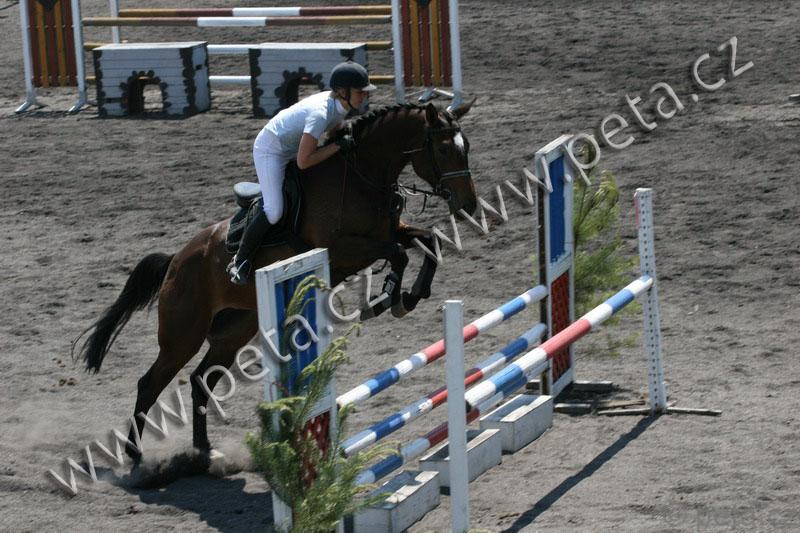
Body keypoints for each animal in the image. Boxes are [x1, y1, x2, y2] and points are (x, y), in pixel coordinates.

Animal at [75, 101, 477, 463]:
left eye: (467, 146)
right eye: (444, 149)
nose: (468, 205)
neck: (363, 175)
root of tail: (176, 260)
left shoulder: (392, 231)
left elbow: (428, 242)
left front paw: (410, 296)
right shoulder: (344, 249)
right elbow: (399, 254)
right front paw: (389, 298)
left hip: (235, 329)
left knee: (201, 381)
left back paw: (205, 449)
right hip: (182, 335)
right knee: (150, 383)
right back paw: (134, 454)